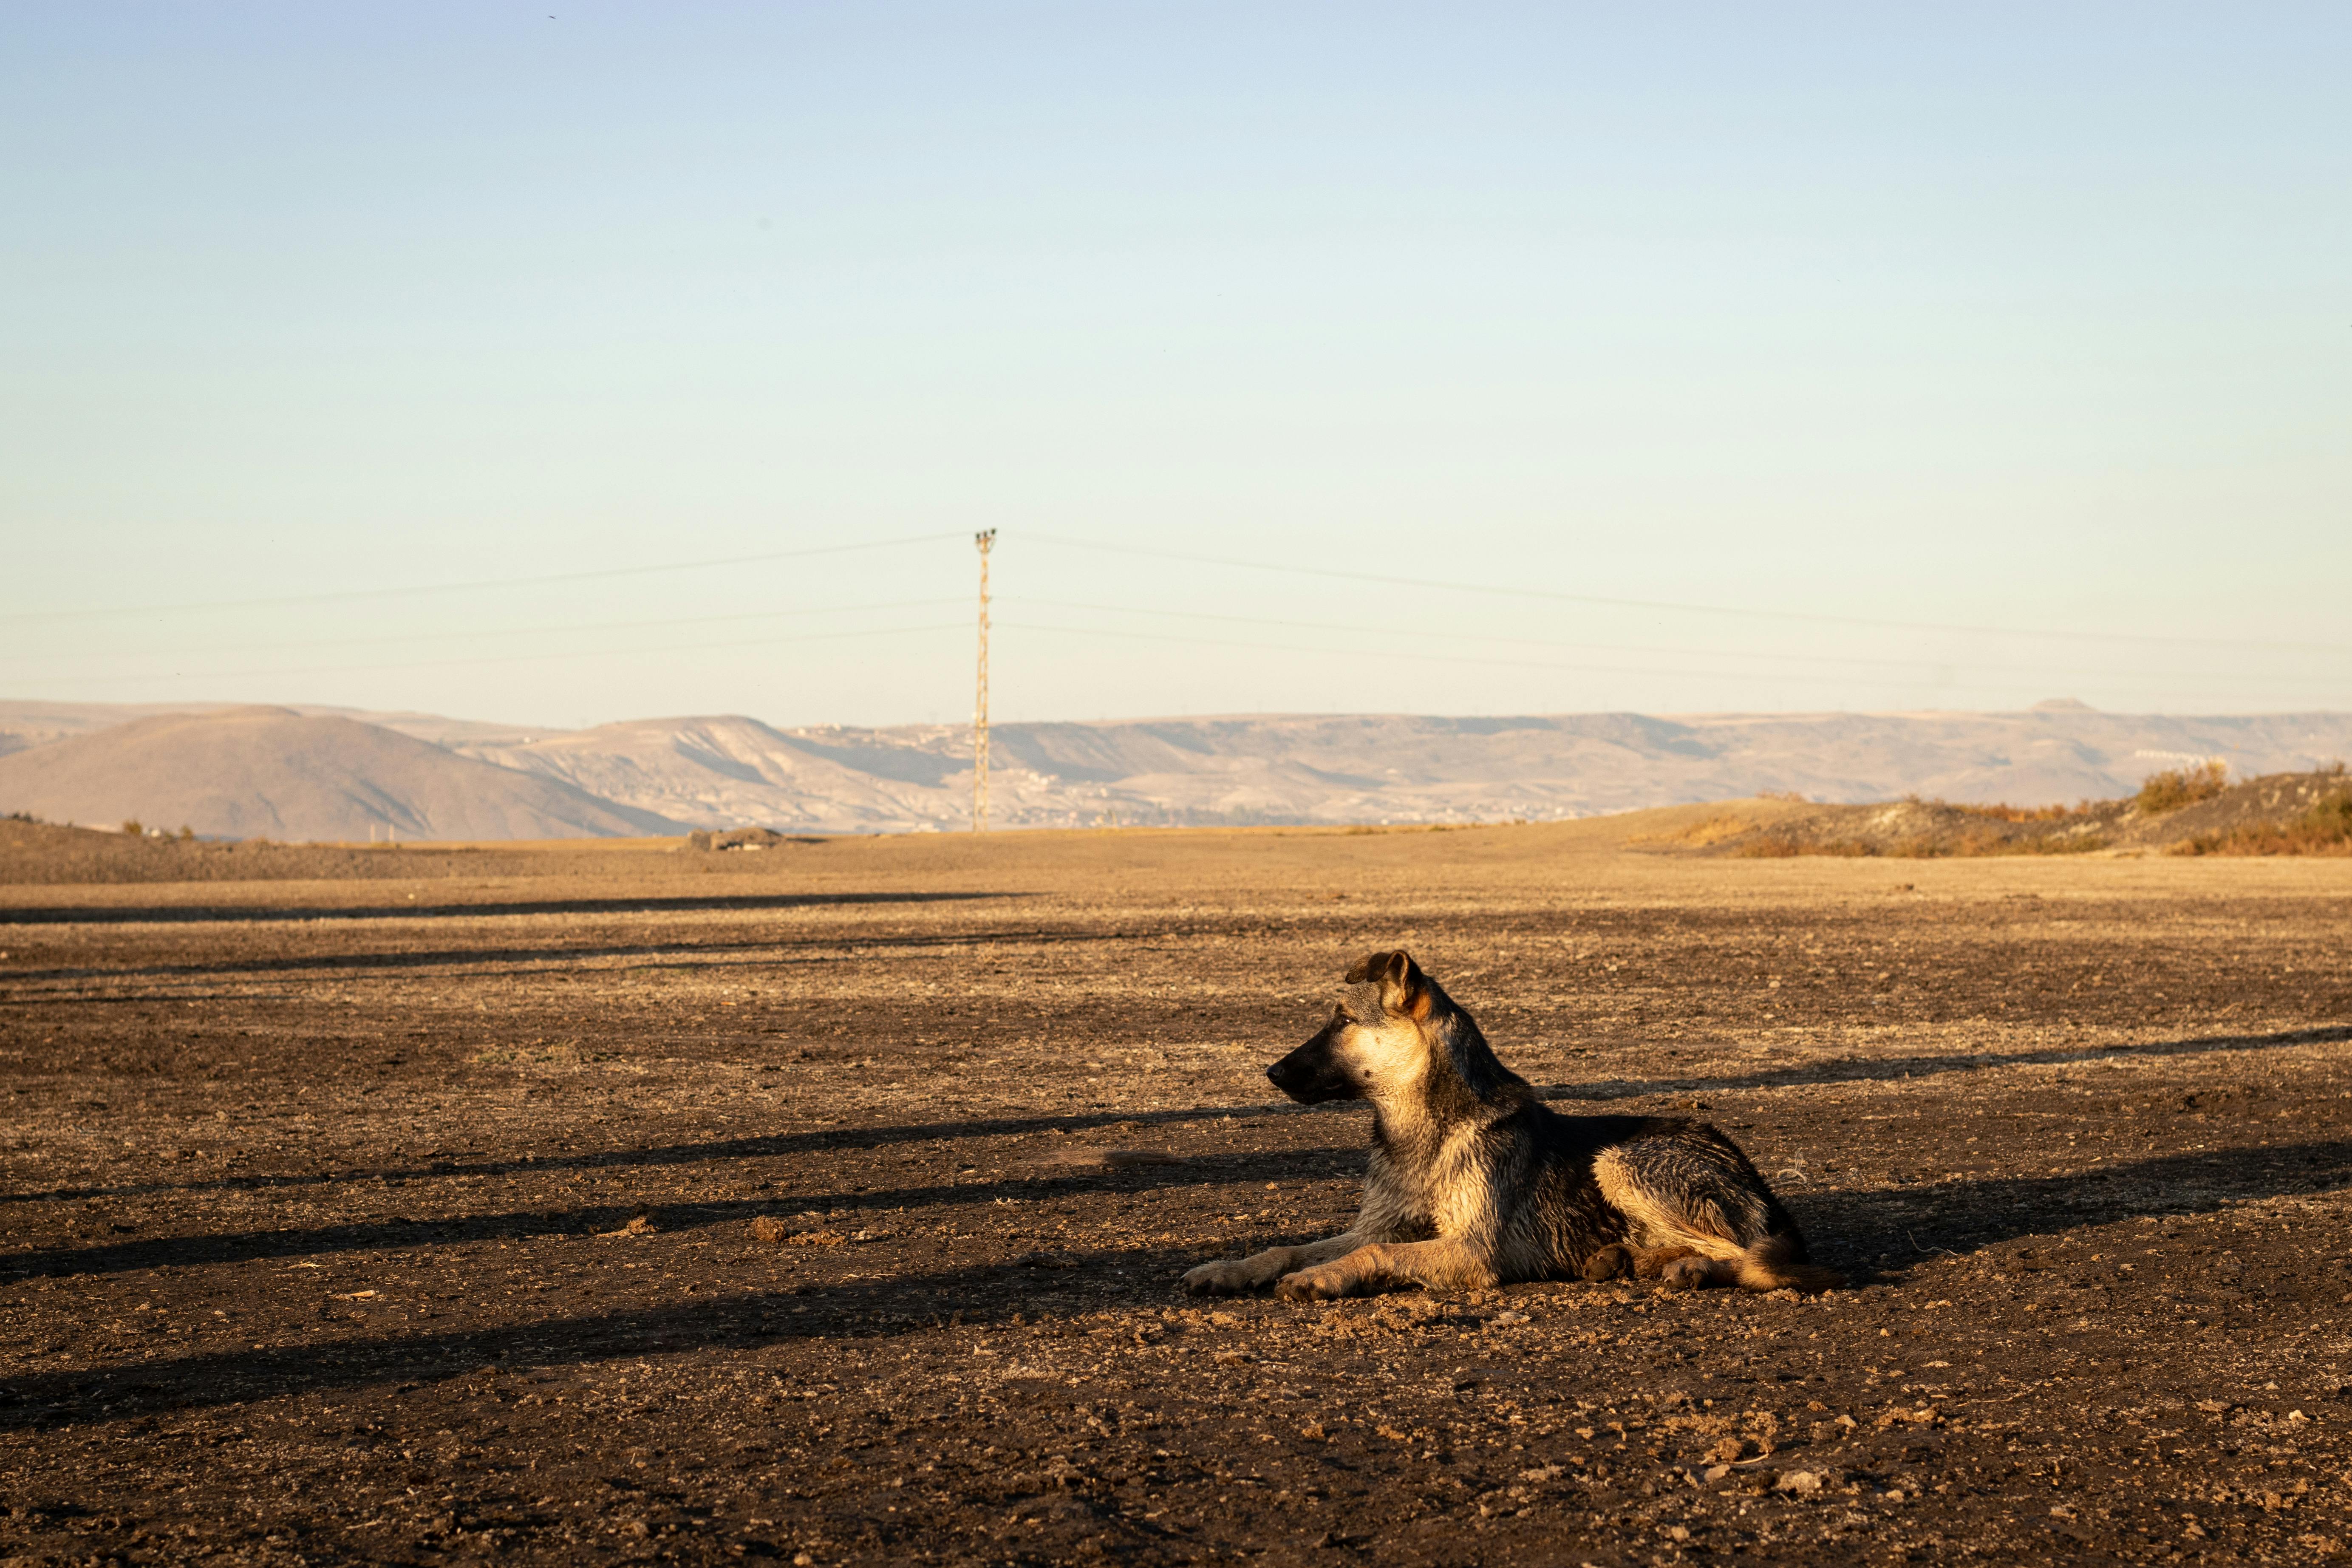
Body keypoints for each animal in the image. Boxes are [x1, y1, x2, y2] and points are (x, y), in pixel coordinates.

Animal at [1176, 959, 1834, 1297]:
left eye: (1342, 1020)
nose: (1271, 1072)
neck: (1419, 1133)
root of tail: (1754, 1175)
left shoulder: (1470, 1249)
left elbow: (1375, 1252)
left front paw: (1321, 1277)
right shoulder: (1378, 1222)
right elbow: (1289, 1245)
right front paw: (1228, 1269)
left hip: (1619, 1159)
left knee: (1744, 1256)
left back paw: (1685, 1268)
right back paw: (1621, 1259)